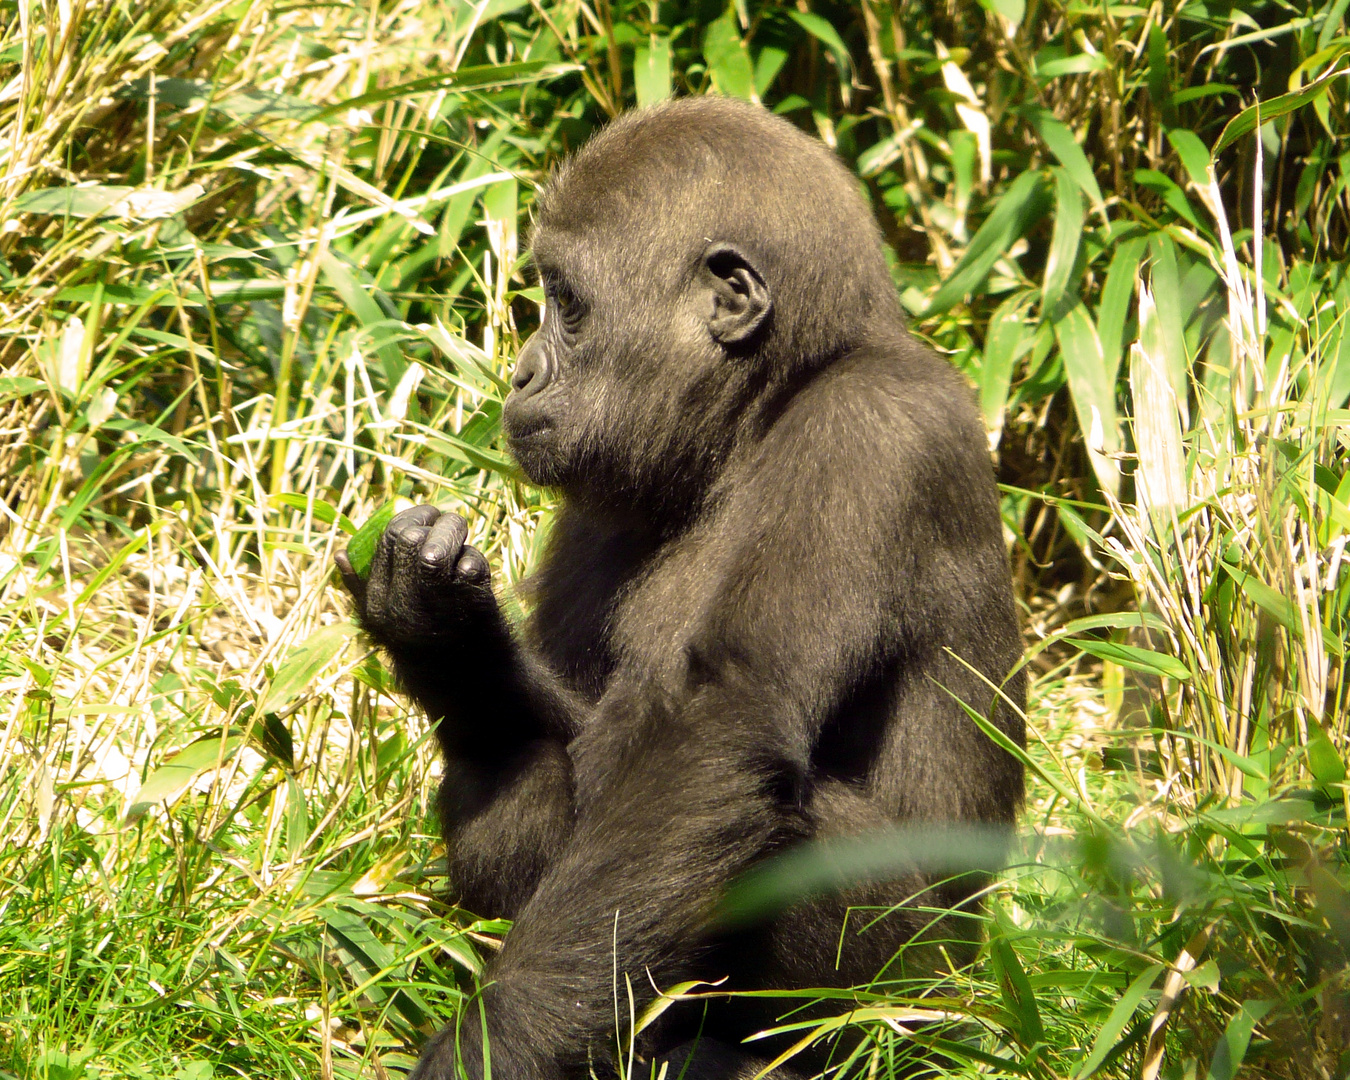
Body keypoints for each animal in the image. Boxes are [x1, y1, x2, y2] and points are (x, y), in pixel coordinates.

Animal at [337, 95, 1020, 1080]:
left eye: (567, 306)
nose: (521, 373)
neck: (764, 406)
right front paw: (443, 629)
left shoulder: (870, 430)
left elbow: (719, 722)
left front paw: (498, 1043)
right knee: (511, 759)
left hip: (927, 1005)